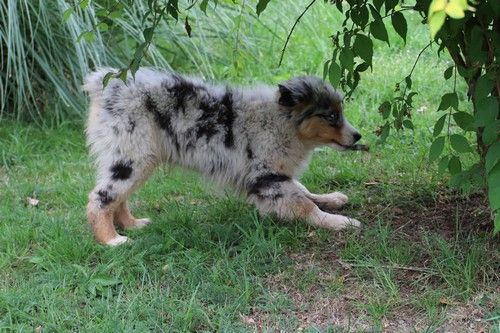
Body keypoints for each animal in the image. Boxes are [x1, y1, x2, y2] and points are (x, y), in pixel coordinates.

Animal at [83, 68, 364, 244]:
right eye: (331, 116)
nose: (358, 136)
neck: (282, 122)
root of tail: (105, 87)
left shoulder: (277, 174)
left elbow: (304, 190)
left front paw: (332, 199)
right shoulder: (266, 177)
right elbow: (304, 204)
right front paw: (341, 222)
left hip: (134, 158)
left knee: (118, 197)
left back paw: (132, 224)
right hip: (134, 158)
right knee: (101, 197)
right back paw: (113, 240)